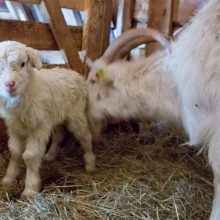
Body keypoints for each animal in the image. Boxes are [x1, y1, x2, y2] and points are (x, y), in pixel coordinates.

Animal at [0, 41, 95, 198]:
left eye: (23, 63)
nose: (10, 84)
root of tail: (75, 74)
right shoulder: (14, 127)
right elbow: (14, 152)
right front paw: (8, 178)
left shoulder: (38, 127)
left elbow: (30, 156)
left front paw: (30, 189)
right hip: (55, 116)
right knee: (58, 135)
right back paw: (50, 155)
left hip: (76, 115)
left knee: (85, 136)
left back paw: (90, 163)